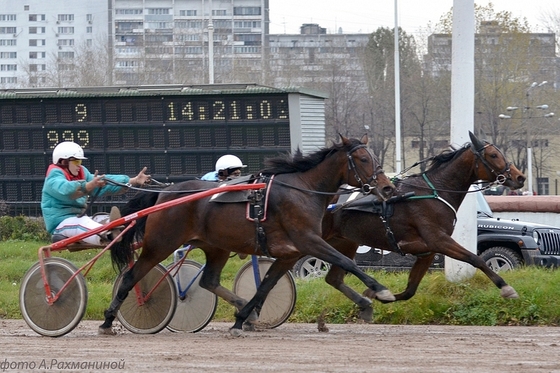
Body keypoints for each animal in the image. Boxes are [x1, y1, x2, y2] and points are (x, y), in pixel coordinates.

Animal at [100, 135, 396, 336]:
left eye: (374, 158)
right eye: (363, 159)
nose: (388, 188)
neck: (303, 189)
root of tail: (163, 194)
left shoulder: (290, 254)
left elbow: (265, 285)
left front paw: (243, 317)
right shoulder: (308, 240)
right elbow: (346, 261)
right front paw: (380, 291)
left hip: (215, 246)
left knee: (208, 280)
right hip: (160, 243)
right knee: (131, 277)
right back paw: (108, 320)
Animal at [322, 131, 528, 320]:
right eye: (493, 155)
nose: (520, 177)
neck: (434, 192)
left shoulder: (427, 251)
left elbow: (410, 290)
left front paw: (375, 294)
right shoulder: (438, 239)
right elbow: (475, 259)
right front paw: (506, 288)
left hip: (346, 241)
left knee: (334, 277)